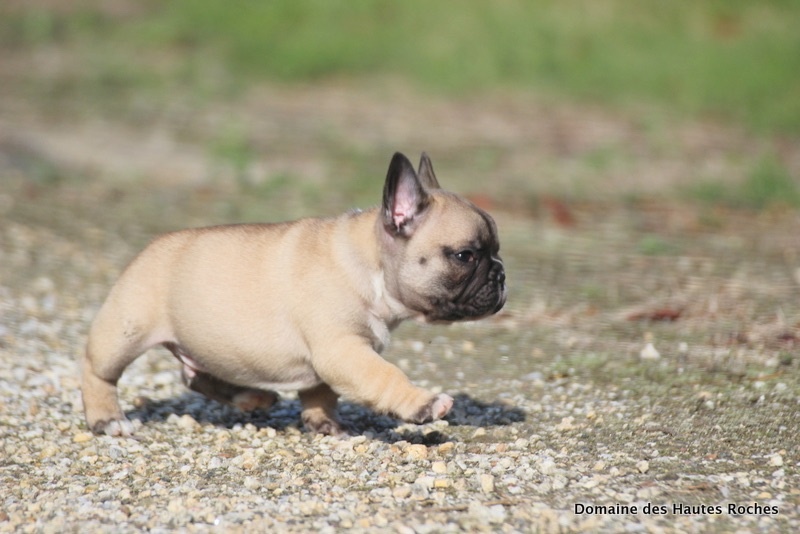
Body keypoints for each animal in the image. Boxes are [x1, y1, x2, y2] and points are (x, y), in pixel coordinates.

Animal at [82, 152, 506, 436]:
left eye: (497, 250)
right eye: (465, 256)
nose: (501, 274)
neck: (368, 263)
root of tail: (148, 248)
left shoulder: (332, 357)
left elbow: (321, 393)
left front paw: (323, 424)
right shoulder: (343, 349)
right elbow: (385, 376)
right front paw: (424, 404)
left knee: (195, 375)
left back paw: (250, 398)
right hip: (127, 328)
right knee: (99, 371)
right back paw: (108, 419)